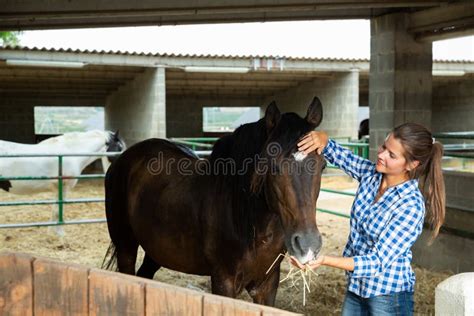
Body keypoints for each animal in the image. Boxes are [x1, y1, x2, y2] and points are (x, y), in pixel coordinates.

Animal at [103, 97, 326, 306]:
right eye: (274, 167)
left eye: (322, 166)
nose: (307, 245)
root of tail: (121, 160)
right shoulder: (223, 280)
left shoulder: (267, 284)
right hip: (125, 246)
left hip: (156, 250)